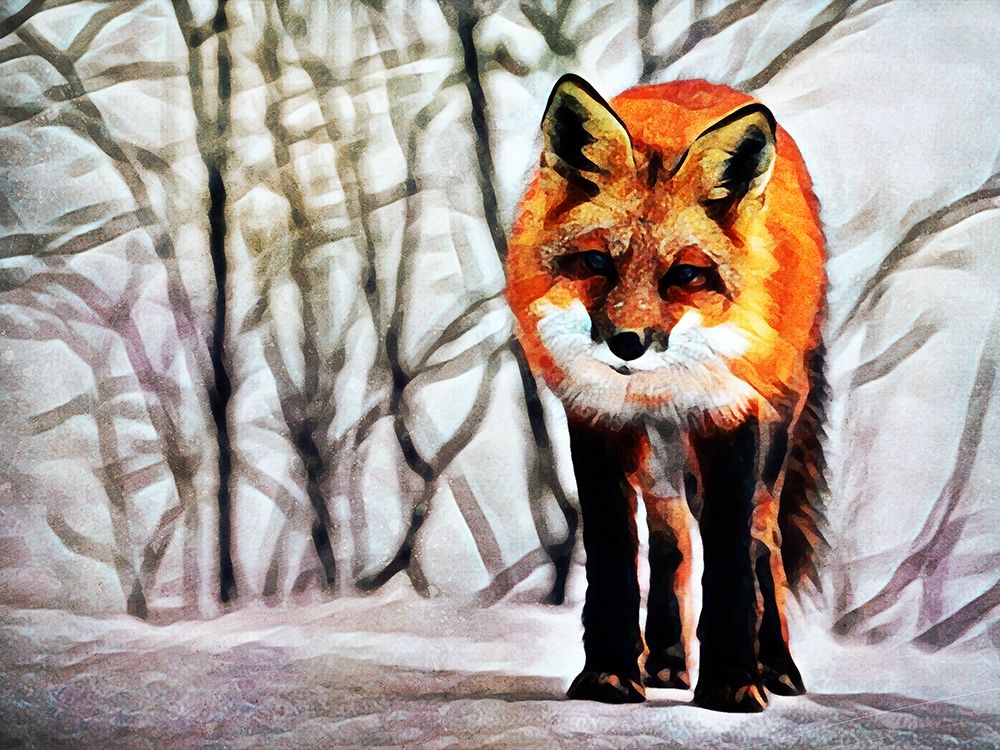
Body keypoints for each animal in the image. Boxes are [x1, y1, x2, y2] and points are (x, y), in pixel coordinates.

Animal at [505, 75, 827, 713]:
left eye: (685, 275)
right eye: (597, 261)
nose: (628, 344)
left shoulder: (729, 413)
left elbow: (730, 557)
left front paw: (732, 683)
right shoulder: (595, 417)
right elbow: (613, 555)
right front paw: (608, 674)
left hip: (772, 434)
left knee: (763, 541)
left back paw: (776, 666)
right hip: (655, 457)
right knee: (670, 538)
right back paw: (666, 661)